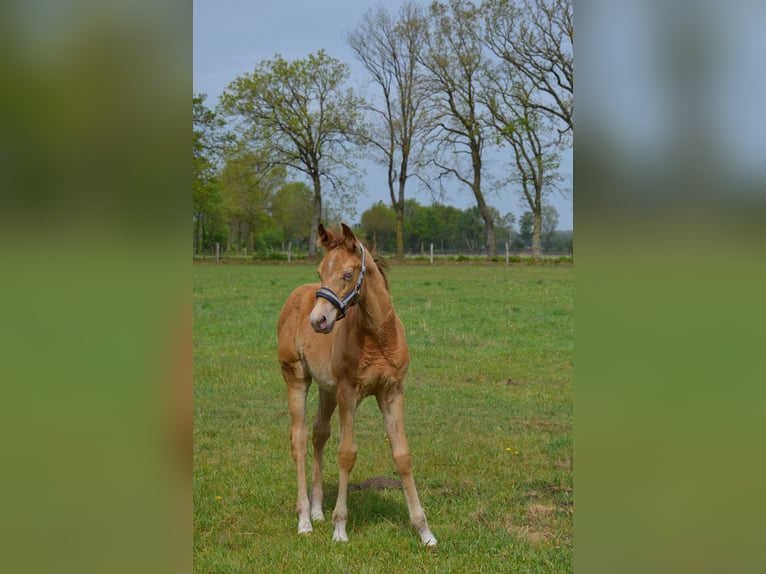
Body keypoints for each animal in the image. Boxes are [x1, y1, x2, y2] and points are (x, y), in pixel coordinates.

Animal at [277, 223, 437, 546]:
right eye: (319, 271)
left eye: (348, 275)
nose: (318, 321)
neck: (377, 336)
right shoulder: (348, 394)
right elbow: (347, 453)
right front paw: (340, 527)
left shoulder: (392, 392)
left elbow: (403, 455)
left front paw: (424, 530)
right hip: (296, 376)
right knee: (299, 439)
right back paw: (304, 520)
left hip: (327, 389)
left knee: (319, 434)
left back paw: (317, 510)